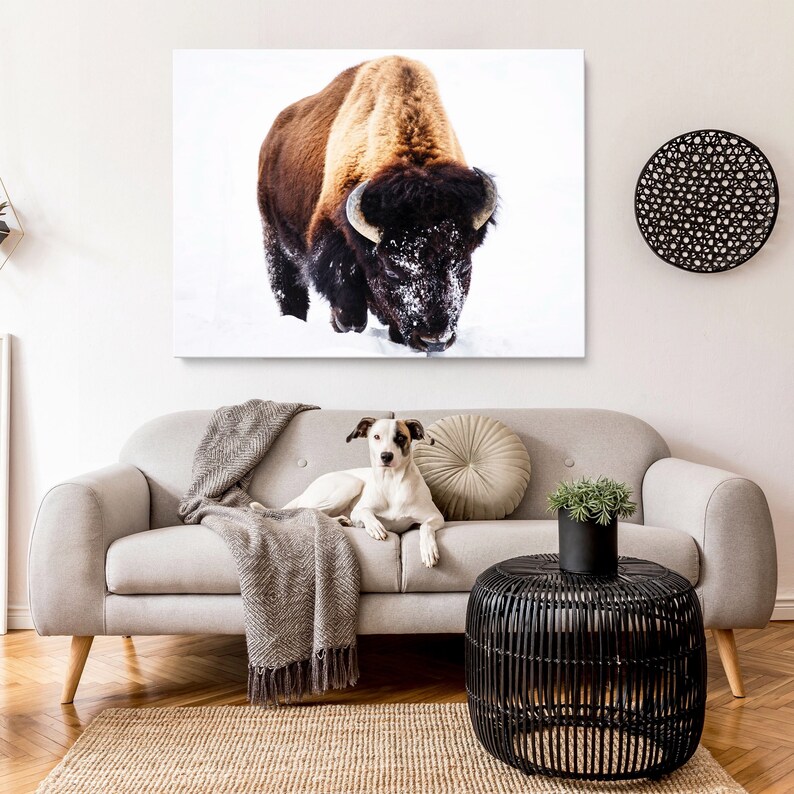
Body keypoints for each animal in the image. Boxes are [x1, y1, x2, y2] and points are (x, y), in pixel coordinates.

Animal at [257, 55, 497, 352]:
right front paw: (345, 327)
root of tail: (274, 135)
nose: (434, 340)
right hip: (274, 240)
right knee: (290, 292)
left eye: (463, 266)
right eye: (392, 270)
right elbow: (350, 311)